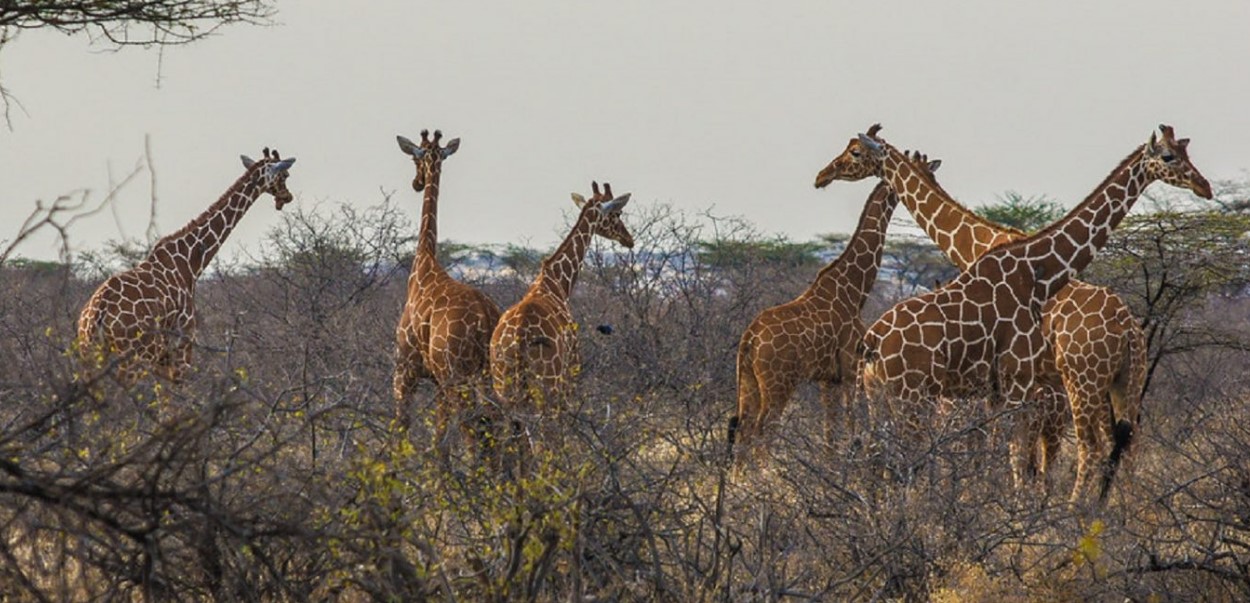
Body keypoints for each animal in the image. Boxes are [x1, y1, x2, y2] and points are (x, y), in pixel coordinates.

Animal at [76, 146, 296, 382]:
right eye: (285, 175)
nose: (287, 196)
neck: (190, 263)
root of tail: (96, 316)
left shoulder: (164, 355)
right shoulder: (183, 344)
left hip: (90, 357)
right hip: (134, 358)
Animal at [392, 130, 505, 447]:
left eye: (414, 157)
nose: (417, 183)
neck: (423, 263)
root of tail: (484, 318)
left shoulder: (405, 370)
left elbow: (402, 425)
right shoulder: (437, 381)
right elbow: (439, 438)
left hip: (457, 375)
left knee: (471, 428)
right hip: (488, 373)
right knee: (499, 423)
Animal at [487, 181, 635, 412]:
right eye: (617, 214)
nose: (629, 239)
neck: (557, 283)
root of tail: (519, 337)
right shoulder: (572, 369)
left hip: (503, 385)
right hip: (549, 383)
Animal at [730, 154, 940, 462]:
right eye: (926, 172)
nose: (821, 178)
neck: (854, 290)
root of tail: (749, 339)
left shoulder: (829, 379)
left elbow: (831, 437)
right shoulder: (851, 370)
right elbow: (850, 429)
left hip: (747, 380)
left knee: (743, 431)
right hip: (779, 383)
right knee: (762, 433)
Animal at [850, 125, 1210, 490]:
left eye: (1180, 154)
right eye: (1169, 156)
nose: (1203, 186)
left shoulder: (1012, 384)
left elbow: (1013, 454)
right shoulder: (1011, 384)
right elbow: (1013, 453)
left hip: (1092, 382)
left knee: (1101, 446)